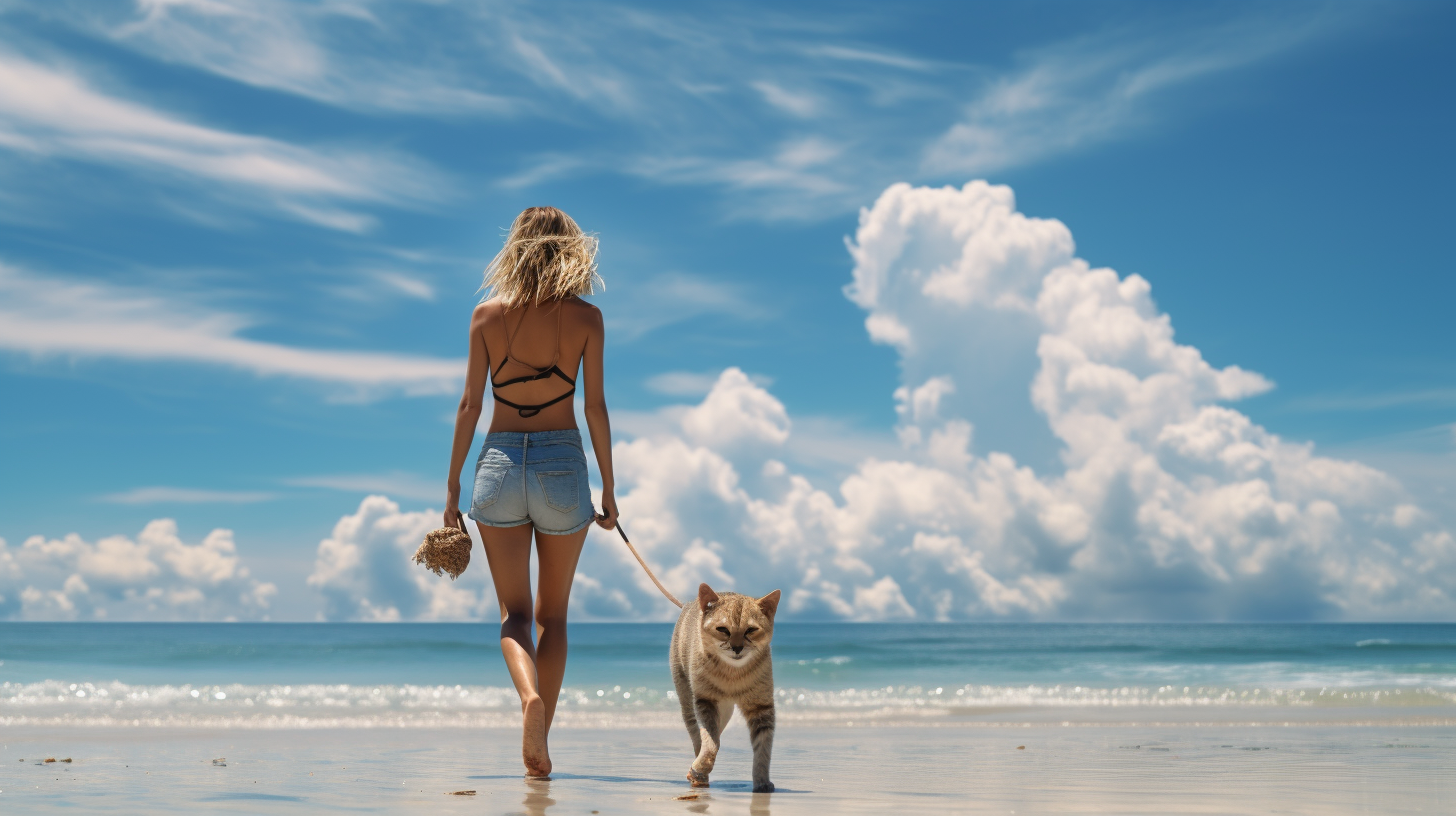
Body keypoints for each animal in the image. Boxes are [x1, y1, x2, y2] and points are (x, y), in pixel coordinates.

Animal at [669, 582, 786, 792]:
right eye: (723, 629)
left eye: (750, 630)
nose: (737, 647)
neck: (732, 673)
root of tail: (688, 604)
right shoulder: (705, 702)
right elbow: (711, 742)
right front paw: (700, 767)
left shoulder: (761, 707)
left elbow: (763, 749)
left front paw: (762, 782)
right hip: (688, 703)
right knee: (698, 737)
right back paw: (700, 774)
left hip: (725, 711)